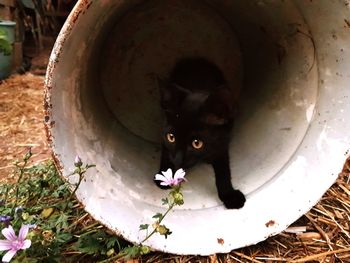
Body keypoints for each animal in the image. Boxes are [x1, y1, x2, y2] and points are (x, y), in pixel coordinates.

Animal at [153, 58, 246, 210]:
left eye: (197, 143)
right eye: (171, 138)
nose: (178, 160)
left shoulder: (222, 143)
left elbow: (223, 170)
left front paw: (229, 195)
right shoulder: (163, 130)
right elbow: (166, 152)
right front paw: (165, 176)